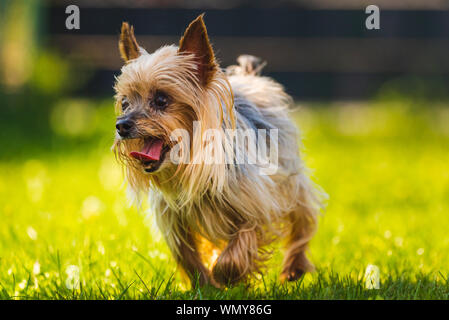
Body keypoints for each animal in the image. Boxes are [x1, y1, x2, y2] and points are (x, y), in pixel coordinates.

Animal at [112, 13, 322, 286]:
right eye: (125, 103)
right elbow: (187, 256)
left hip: (288, 176)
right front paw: (205, 285)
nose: (122, 125)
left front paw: (227, 277)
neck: (187, 168)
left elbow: (238, 248)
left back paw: (294, 267)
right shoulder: (174, 221)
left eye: (161, 100)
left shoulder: (256, 204)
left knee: (302, 217)